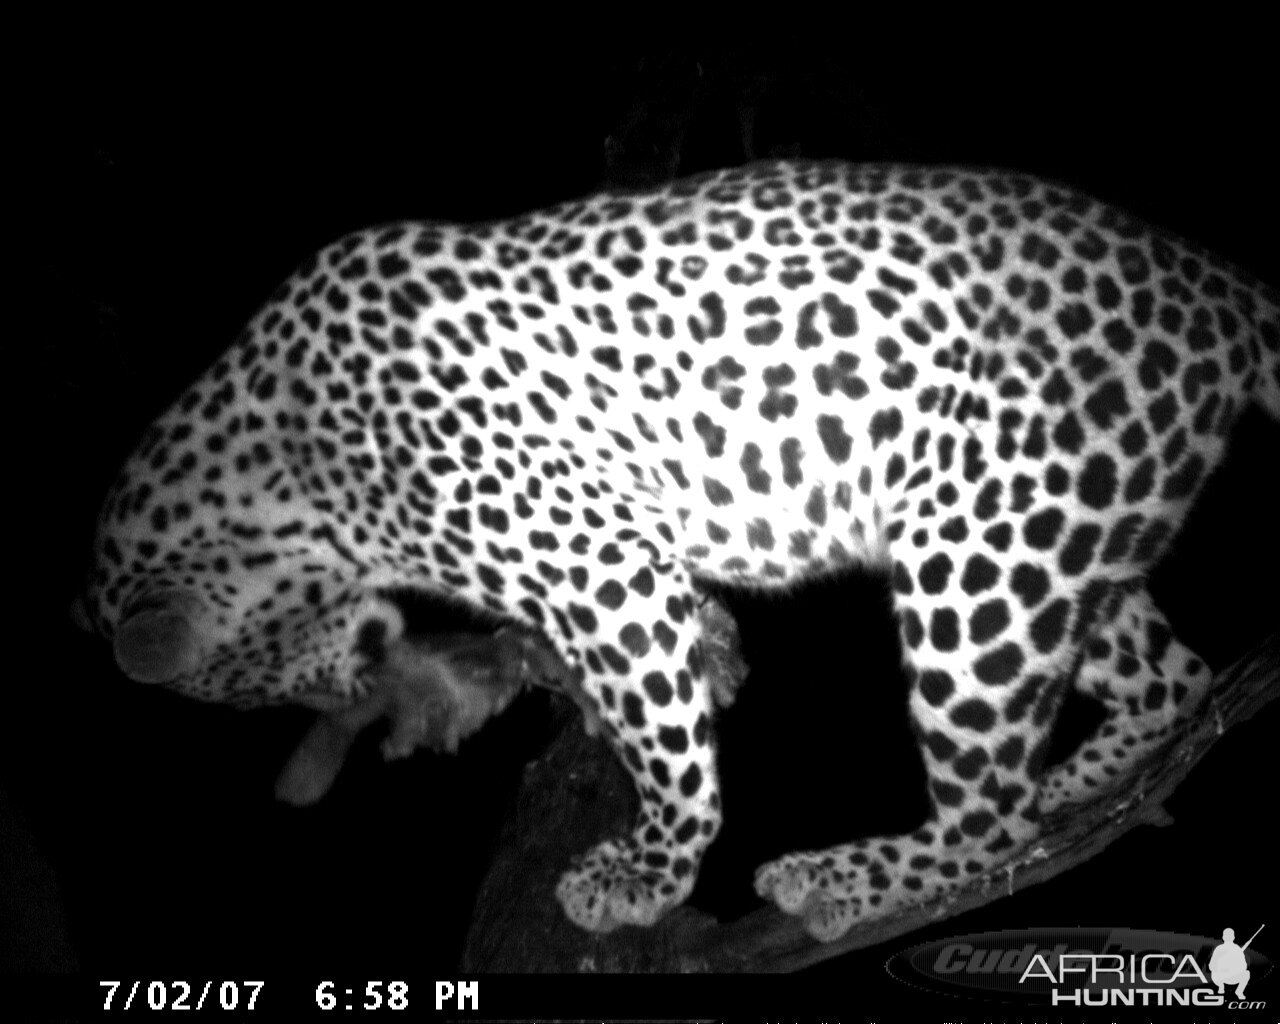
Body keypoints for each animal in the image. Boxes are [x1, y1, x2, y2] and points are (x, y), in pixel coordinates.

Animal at [77, 161, 1280, 942]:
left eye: (245, 685)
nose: (343, 689)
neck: (285, 465)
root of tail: (1218, 287)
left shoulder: (603, 572)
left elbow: (667, 752)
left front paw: (647, 873)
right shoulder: (625, 562)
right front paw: (714, 650)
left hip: (976, 557)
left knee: (991, 814)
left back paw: (850, 872)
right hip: (1052, 536)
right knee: (1165, 685)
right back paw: (1077, 782)